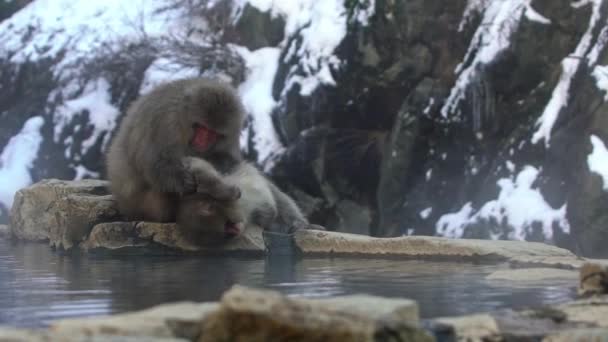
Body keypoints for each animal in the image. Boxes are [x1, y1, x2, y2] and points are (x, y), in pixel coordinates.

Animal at [105, 77, 243, 222]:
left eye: (212, 133)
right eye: (201, 127)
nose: (202, 141)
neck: (182, 116)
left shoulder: (232, 134)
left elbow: (228, 158)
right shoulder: (164, 120)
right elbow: (155, 161)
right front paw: (185, 181)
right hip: (148, 205)